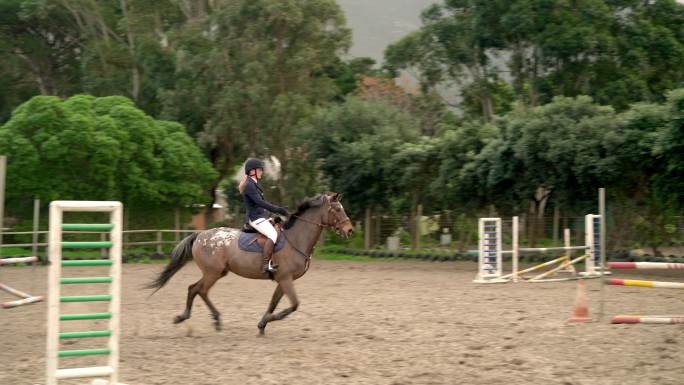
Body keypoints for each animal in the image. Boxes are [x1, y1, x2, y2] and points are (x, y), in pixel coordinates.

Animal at [148, 192, 352, 332]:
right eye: (338, 209)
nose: (349, 230)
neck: (296, 238)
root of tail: (200, 235)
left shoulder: (283, 280)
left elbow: (273, 303)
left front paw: (262, 324)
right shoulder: (285, 279)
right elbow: (293, 305)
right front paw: (268, 321)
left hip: (217, 272)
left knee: (195, 289)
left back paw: (200, 317)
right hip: (212, 273)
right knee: (199, 290)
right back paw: (198, 318)